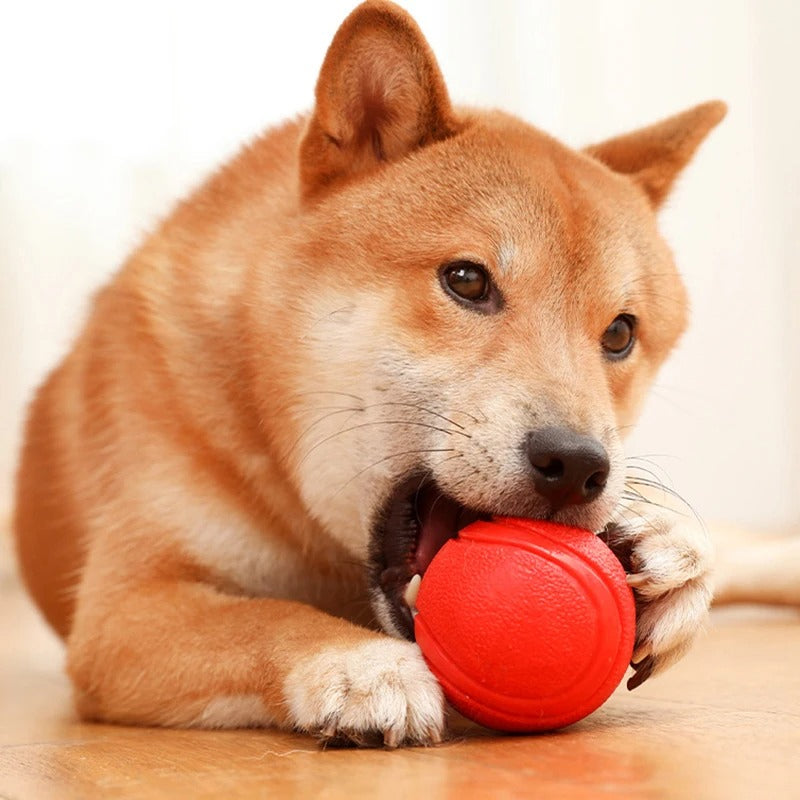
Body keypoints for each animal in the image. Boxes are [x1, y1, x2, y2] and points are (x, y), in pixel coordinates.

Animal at [12, 1, 728, 752]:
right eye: (466, 280)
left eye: (620, 333)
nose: (577, 465)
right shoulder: (123, 611)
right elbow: (265, 616)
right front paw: (359, 664)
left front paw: (668, 543)